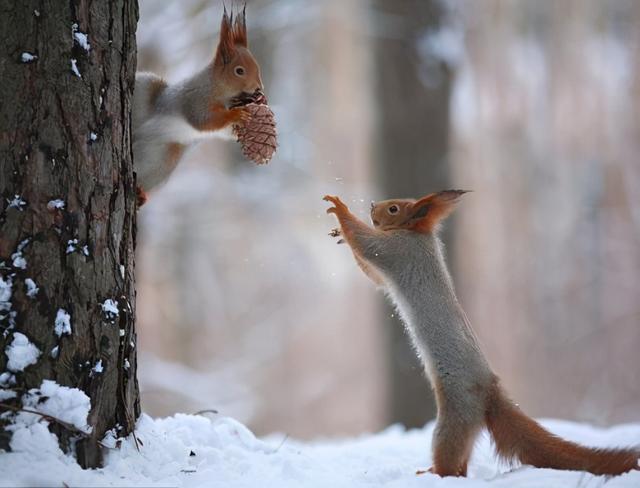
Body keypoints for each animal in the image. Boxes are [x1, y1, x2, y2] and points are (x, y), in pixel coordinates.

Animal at [131, 8, 264, 205]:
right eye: (239, 71)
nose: (259, 88)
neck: (221, 91)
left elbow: (225, 131)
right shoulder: (195, 98)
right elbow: (202, 120)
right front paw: (236, 115)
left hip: (162, 162)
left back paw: (140, 193)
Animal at [324, 191, 640, 476]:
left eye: (393, 208)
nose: (372, 206)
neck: (417, 233)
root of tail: (491, 392)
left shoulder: (400, 251)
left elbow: (368, 245)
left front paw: (340, 210)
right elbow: (373, 274)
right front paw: (340, 233)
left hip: (456, 415)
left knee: (449, 459)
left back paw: (433, 473)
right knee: (462, 462)